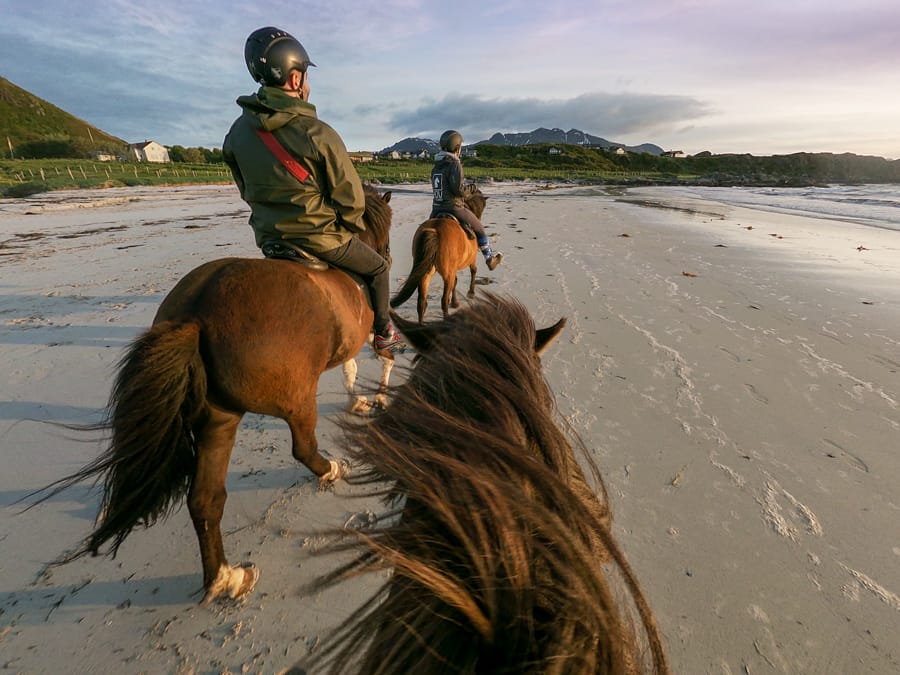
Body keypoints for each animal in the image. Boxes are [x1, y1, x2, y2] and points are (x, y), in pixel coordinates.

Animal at [30, 184, 394, 604]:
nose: (386, 256)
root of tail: (196, 313)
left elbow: (351, 369)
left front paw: (360, 399)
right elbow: (367, 362)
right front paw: (371, 398)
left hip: (217, 418)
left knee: (205, 499)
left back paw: (226, 578)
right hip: (294, 403)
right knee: (303, 448)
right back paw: (332, 470)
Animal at [390, 185, 488, 322]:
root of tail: (435, 230)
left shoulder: (453, 269)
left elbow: (456, 282)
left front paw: (455, 302)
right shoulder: (471, 259)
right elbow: (473, 271)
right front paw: (470, 293)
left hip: (426, 273)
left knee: (421, 302)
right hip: (446, 274)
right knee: (443, 301)